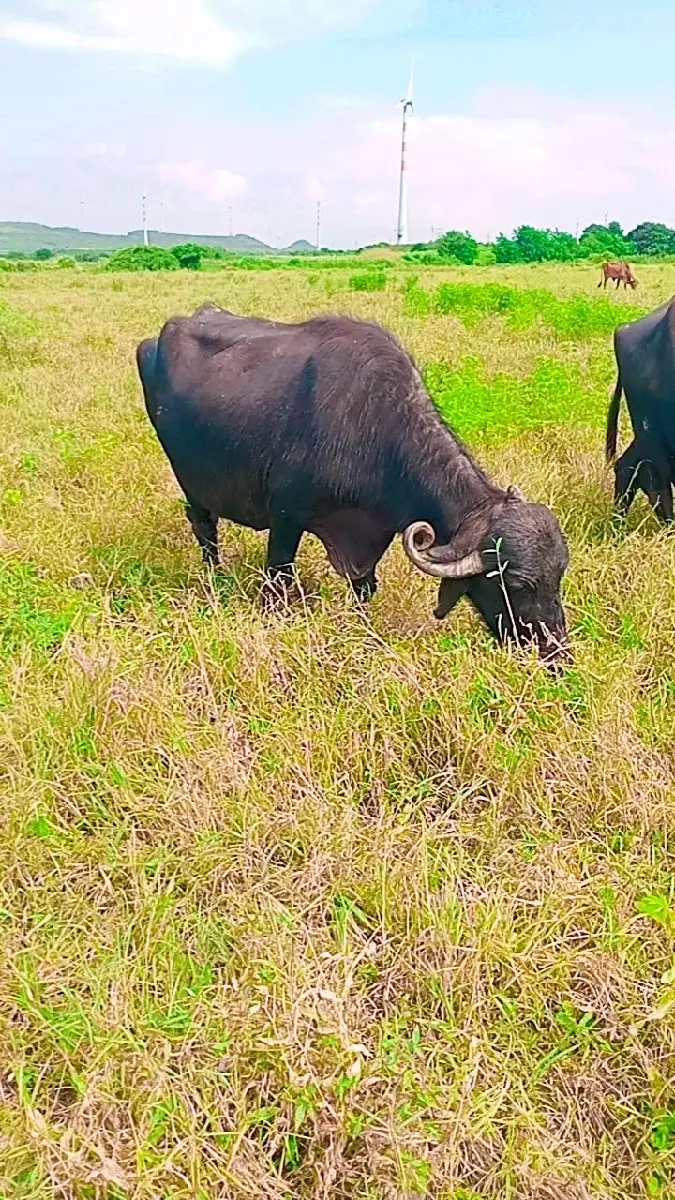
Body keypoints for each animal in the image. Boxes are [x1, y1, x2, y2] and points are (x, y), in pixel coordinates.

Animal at [137, 305, 570, 662]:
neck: (372, 428)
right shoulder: (286, 520)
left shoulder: (371, 534)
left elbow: (364, 588)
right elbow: (277, 583)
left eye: (558, 576)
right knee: (204, 528)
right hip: (190, 482)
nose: (555, 652)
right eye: (518, 585)